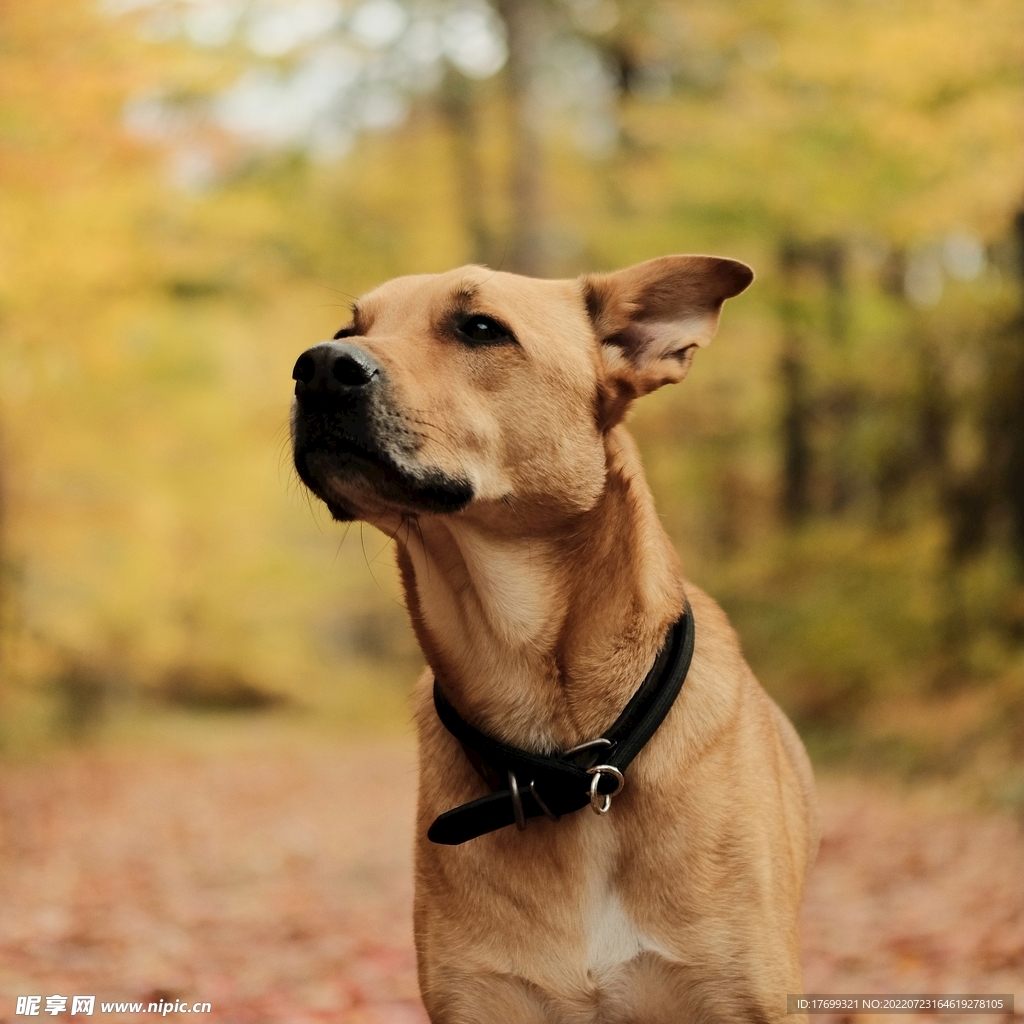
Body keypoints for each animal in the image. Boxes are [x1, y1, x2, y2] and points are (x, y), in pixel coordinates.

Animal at [292, 258, 819, 1024]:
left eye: (480, 328)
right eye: (348, 328)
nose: (320, 366)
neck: (570, 763)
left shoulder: (737, 995)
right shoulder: (480, 997)